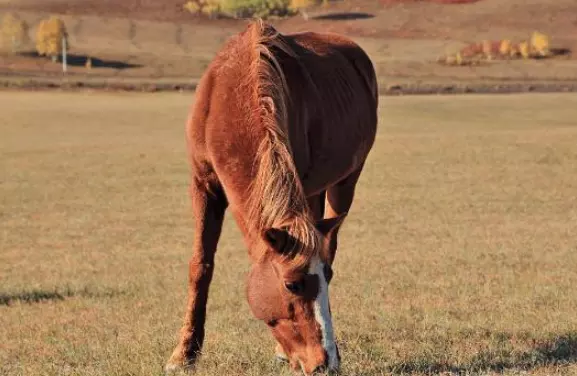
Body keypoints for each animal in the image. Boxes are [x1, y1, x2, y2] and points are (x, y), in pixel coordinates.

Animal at [165, 19, 378, 374]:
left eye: (328, 279)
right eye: (292, 284)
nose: (326, 363)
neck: (231, 99)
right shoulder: (203, 184)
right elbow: (200, 265)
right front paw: (184, 354)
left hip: (346, 180)